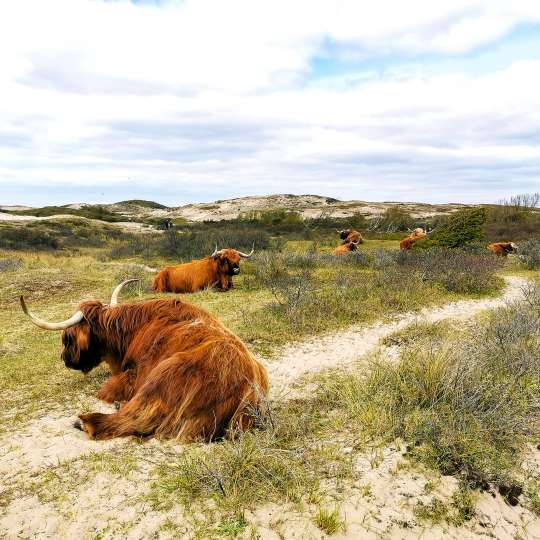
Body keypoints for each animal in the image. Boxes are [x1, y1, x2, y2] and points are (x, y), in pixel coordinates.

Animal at [20, 280, 268, 440]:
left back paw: (86, 421)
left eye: (67, 338)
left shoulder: (133, 375)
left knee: (128, 419)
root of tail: (249, 388)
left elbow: (105, 390)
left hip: (160, 379)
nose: (65, 360)